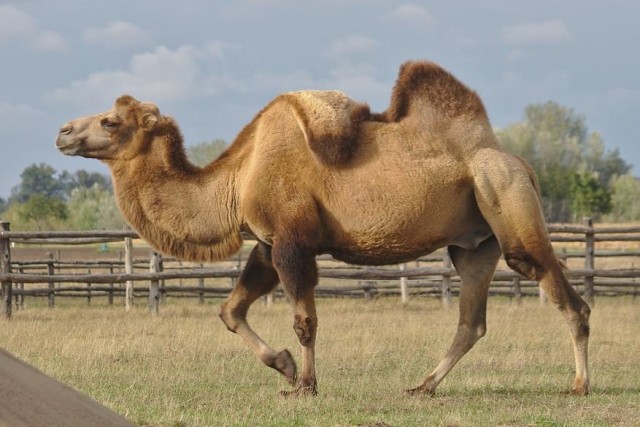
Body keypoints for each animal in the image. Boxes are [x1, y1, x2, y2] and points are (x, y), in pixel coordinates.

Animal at [55, 60, 590, 397]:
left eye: (110, 121)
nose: (63, 131)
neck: (238, 178)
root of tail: (517, 160)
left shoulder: (293, 242)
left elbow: (305, 321)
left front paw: (306, 386)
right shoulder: (267, 244)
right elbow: (231, 311)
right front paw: (286, 368)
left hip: (503, 193)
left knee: (566, 296)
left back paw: (579, 385)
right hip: (475, 243)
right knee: (471, 321)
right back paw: (423, 386)